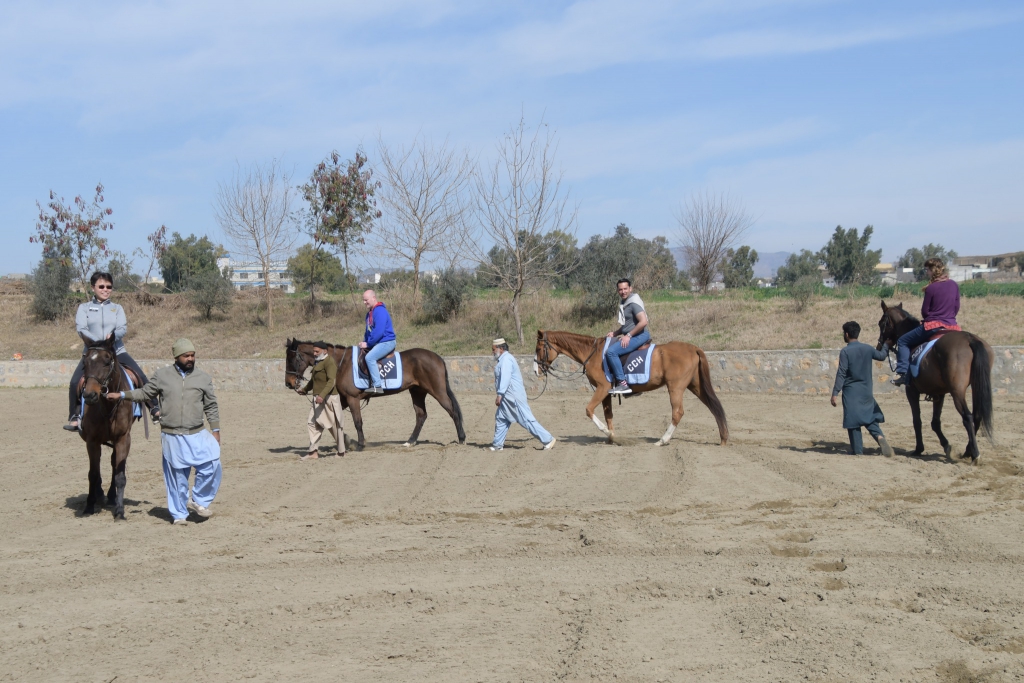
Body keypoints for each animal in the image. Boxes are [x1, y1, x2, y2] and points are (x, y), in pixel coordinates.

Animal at [77, 335, 137, 518]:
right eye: (85, 363)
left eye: (107, 361)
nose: (90, 395)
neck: (108, 406)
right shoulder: (92, 441)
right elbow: (93, 474)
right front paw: (89, 505)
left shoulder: (123, 439)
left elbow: (120, 474)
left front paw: (119, 510)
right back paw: (99, 494)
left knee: (113, 464)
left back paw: (111, 496)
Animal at [286, 335, 466, 448]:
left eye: (292, 358)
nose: (289, 383)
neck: (340, 363)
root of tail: (437, 357)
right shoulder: (344, 399)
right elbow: (333, 421)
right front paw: (345, 441)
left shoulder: (352, 399)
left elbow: (358, 422)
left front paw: (360, 444)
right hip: (417, 392)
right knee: (421, 415)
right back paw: (410, 441)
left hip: (437, 391)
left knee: (452, 411)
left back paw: (462, 438)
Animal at [536, 331, 729, 448]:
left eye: (539, 348)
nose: (537, 370)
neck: (593, 353)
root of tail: (693, 348)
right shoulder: (607, 393)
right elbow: (608, 415)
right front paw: (612, 438)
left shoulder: (602, 388)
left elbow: (589, 410)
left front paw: (608, 433)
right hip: (695, 385)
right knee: (714, 407)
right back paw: (723, 437)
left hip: (675, 387)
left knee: (678, 412)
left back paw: (662, 440)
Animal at [876, 301, 995, 464]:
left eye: (881, 323)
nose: (879, 346)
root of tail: (970, 339)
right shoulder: (939, 394)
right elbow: (935, 422)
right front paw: (947, 446)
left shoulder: (911, 391)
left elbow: (917, 420)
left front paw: (919, 449)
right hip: (977, 387)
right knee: (977, 416)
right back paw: (967, 451)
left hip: (957, 391)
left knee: (968, 417)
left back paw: (975, 454)